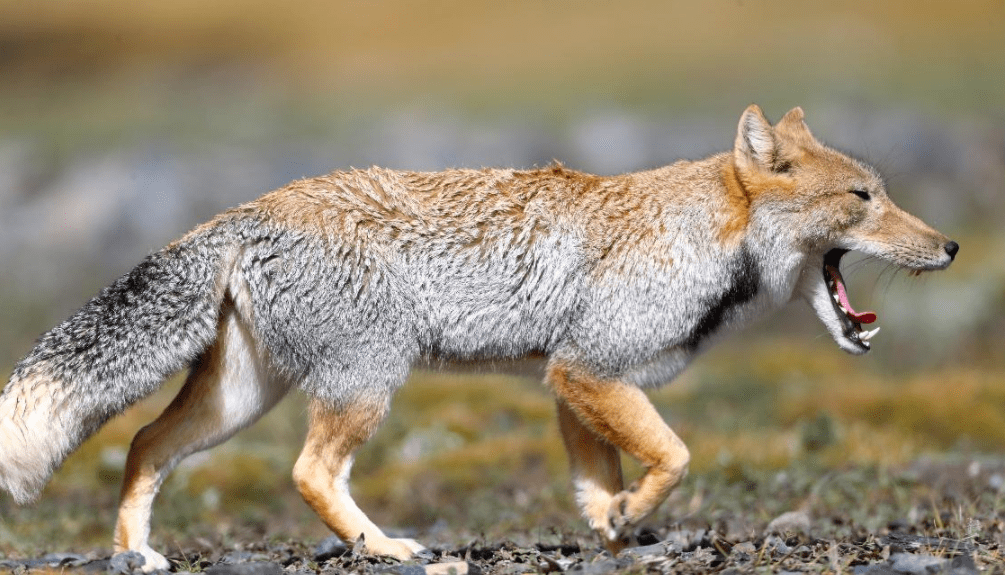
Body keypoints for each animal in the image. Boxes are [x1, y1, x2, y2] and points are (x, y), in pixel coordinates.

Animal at [1, 105, 956, 566]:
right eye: (864, 199)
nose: (948, 246)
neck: (700, 235)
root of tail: (245, 210)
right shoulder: (590, 368)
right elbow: (676, 455)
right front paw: (634, 515)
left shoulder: (570, 378)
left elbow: (598, 481)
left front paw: (616, 530)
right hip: (365, 384)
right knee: (308, 471)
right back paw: (388, 548)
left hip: (238, 401)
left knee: (141, 445)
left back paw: (134, 554)